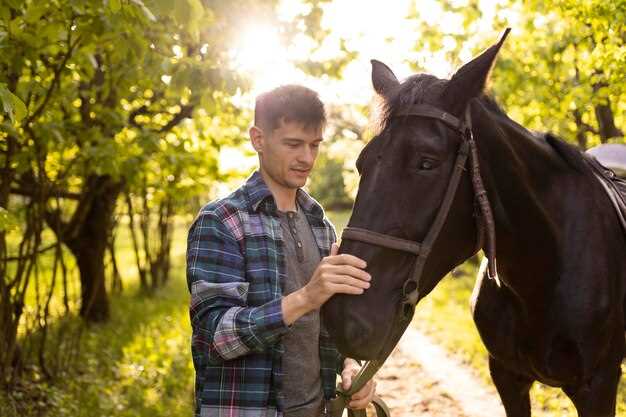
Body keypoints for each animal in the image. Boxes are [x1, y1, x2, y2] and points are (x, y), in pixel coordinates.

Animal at [322, 30, 624, 416]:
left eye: (427, 162)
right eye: (362, 162)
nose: (341, 317)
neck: (544, 271)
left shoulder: (597, 385)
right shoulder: (507, 376)